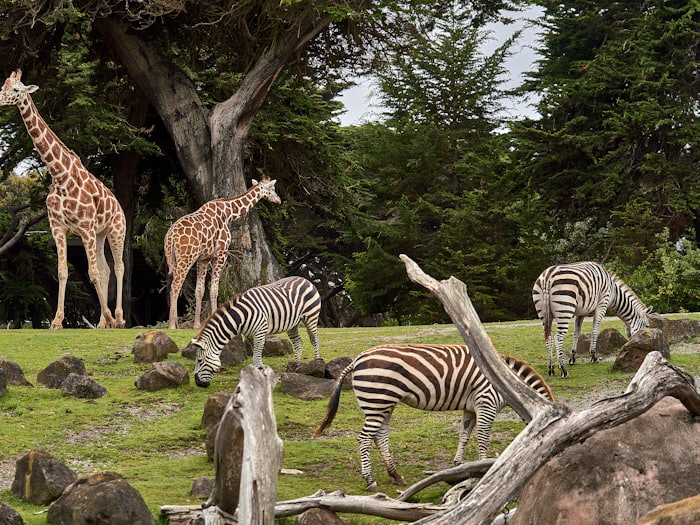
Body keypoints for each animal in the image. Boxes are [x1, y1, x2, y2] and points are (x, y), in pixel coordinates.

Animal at [0, 70, 126, 329]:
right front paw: (57, 321)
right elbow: (63, 272)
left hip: (116, 230)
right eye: (2, 86)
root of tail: (118, 205)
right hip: (100, 235)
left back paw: (118, 318)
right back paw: (102, 322)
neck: (59, 175)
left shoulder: (85, 228)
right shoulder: (58, 227)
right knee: (106, 269)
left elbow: (92, 273)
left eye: (16, 90)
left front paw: (110, 317)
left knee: (119, 267)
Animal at [164, 177, 281, 329]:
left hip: (171, 259)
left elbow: (199, 290)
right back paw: (172, 326)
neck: (229, 213)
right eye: (272, 188)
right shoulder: (221, 254)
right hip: (186, 258)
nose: (279, 200)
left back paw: (174, 323)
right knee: (175, 285)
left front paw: (197, 325)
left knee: (172, 285)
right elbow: (214, 289)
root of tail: (170, 237)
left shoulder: (204, 259)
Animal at [188, 276, 321, 387]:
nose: (198, 384)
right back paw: (295, 365)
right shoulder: (249, 335)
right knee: (298, 342)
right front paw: (259, 371)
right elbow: (255, 353)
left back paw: (316, 363)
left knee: (315, 340)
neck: (240, 317)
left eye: (199, 361)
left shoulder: (260, 332)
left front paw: (258, 374)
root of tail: (305, 279)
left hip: (311, 316)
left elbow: (256, 356)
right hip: (293, 324)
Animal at [315, 343, 554, 491]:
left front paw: (458, 464)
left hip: (383, 404)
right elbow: (482, 439)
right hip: (378, 400)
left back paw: (396, 475)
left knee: (379, 437)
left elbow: (464, 434)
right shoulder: (486, 403)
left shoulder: (471, 407)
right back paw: (370, 480)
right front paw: (484, 468)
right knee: (364, 439)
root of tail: (357, 359)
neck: (507, 383)